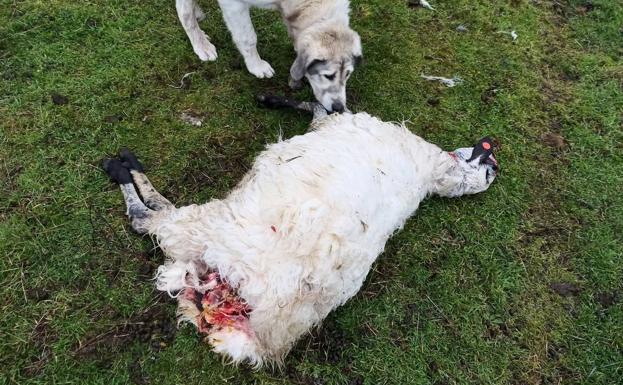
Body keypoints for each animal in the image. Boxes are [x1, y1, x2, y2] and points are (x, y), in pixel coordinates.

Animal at [105, 97, 500, 366]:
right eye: (488, 169)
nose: (492, 153)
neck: (432, 175)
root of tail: (261, 336)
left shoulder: (336, 122)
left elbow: (321, 109)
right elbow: (320, 106)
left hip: (201, 228)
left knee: (147, 219)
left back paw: (124, 167)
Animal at [174, 0, 360, 112]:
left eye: (348, 75)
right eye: (328, 76)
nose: (339, 108)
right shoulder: (233, 4)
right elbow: (248, 37)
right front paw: (256, 66)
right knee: (183, 11)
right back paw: (201, 45)